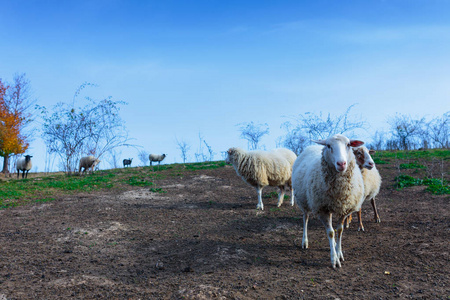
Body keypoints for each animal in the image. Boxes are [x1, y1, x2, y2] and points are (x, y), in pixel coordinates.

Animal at [292, 135, 366, 268]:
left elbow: (340, 230)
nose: (341, 163)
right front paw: (334, 259)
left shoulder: (344, 209)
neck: (339, 191)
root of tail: (313, 146)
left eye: (348, 145)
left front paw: (339, 253)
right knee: (305, 219)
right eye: (328, 146)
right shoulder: (322, 209)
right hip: (304, 200)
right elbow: (331, 232)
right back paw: (305, 241)